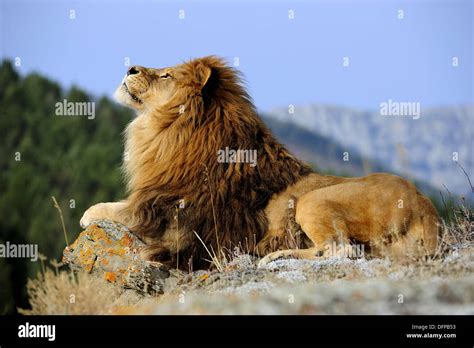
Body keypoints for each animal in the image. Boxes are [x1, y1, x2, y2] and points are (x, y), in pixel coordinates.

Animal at [79, 56, 438, 270]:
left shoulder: (172, 216)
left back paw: (275, 255)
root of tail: (426, 209)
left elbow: (116, 210)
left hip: (312, 200)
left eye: (166, 74)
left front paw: (88, 213)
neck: (166, 133)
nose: (130, 67)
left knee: (341, 250)